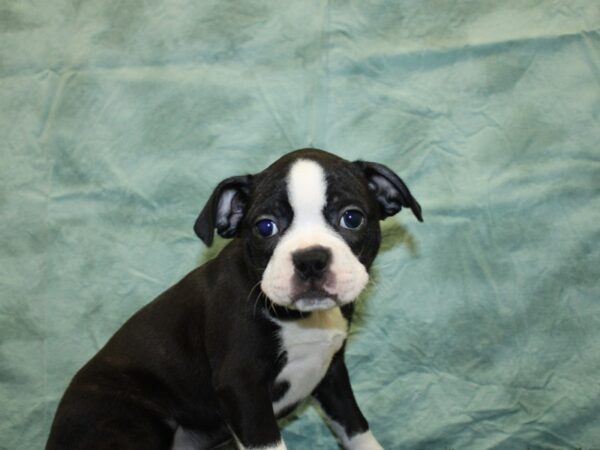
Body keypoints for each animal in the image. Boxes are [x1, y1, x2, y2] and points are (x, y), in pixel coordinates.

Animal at [45, 149, 422, 450]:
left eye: (352, 218)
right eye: (266, 227)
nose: (311, 259)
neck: (299, 320)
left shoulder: (333, 375)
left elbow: (357, 429)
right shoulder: (243, 387)